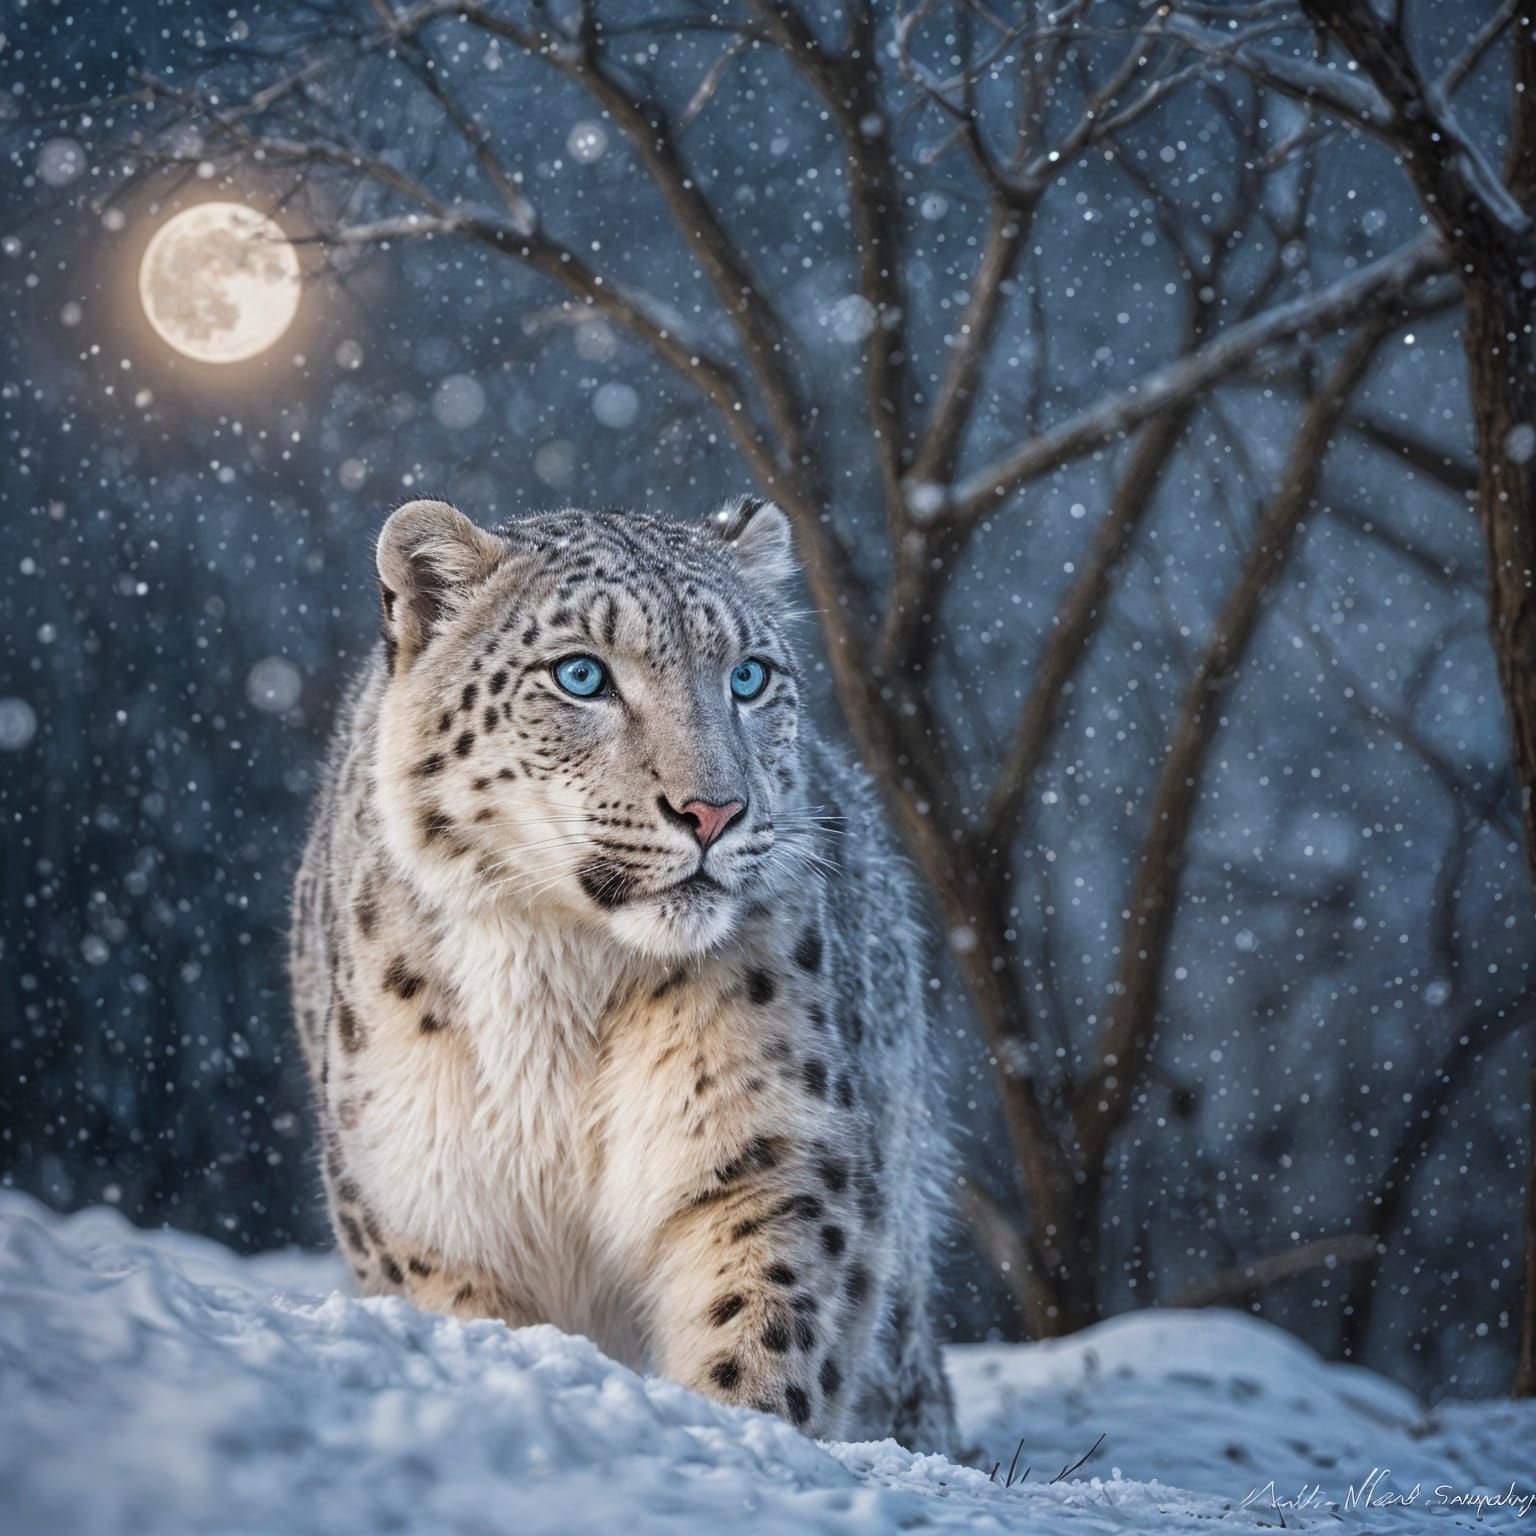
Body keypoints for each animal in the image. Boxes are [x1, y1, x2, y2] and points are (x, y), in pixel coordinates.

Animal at [290, 495, 957, 1452]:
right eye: (580, 674)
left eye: (749, 677)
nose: (714, 810)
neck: (557, 991)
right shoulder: (426, 1192)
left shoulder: (774, 1152)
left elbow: (763, 1323)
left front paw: (741, 1430)